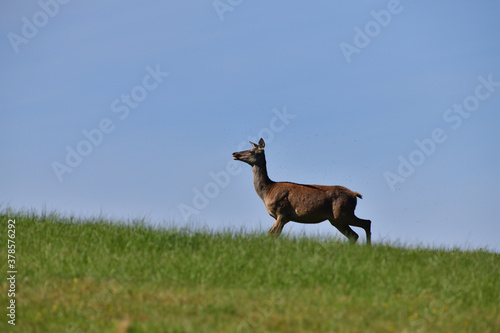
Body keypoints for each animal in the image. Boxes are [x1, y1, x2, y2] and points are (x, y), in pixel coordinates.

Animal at [232, 138, 370, 244]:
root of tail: (355, 195)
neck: (268, 191)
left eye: (251, 151)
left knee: (366, 223)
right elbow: (270, 234)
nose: (234, 153)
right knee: (354, 235)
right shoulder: (280, 216)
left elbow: (272, 235)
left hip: (343, 213)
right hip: (336, 219)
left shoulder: (283, 212)